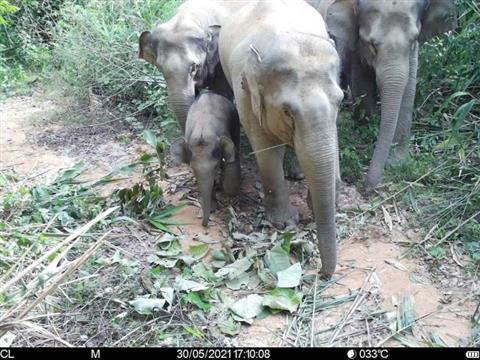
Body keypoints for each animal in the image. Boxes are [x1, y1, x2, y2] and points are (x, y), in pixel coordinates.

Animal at [210, 0, 342, 278]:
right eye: (287, 111)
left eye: (340, 100)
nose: (323, 274)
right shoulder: (246, 94)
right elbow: (268, 151)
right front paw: (284, 222)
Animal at [308, 0, 458, 191]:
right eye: (372, 44)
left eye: (413, 40)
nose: (365, 188)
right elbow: (362, 82)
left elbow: (408, 89)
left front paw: (397, 162)